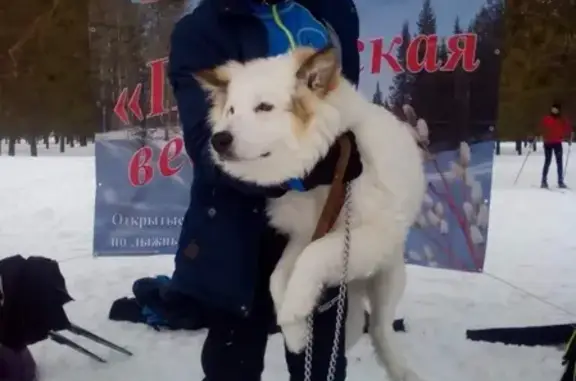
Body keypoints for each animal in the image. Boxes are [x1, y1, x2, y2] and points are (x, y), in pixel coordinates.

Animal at [196, 45, 426, 380]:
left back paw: (402, 370)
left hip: (385, 279)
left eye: (264, 107)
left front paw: (294, 310)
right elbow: (278, 278)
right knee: (357, 324)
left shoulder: (370, 235)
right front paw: (295, 331)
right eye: (232, 111)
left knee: (381, 329)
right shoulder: (304, 234)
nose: (219, 140)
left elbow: (314, 256)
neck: (327, 169)